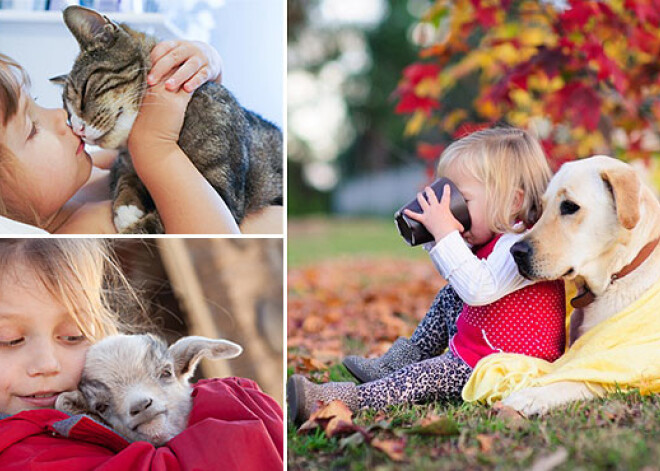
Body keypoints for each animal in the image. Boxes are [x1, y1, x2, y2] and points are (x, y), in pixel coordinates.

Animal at [53, 5, 284, 234]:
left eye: (83, 91)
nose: (77, 129)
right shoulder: (122, 162)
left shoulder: (221, 192)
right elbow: (124, 178)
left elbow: (153, 226)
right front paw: (126, 208)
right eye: (68, 115)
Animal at [500, 156, 660, 416]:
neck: (619, 272)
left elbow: (575, 379)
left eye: (569, 206)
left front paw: (530, 396)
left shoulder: (624, 363)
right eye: (542, 207)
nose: (516, 252)